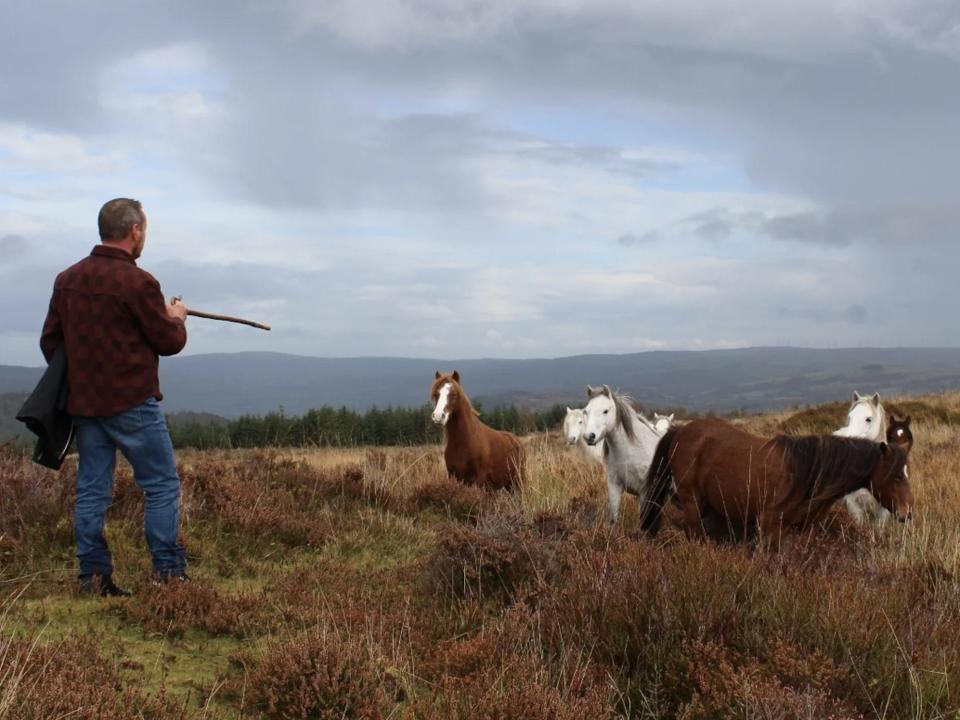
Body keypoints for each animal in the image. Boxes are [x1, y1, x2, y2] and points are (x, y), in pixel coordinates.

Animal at [580, 386, 664, 524]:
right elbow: (613, 518)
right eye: (586, 411)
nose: (589, 436)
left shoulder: (644, 493)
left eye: (605, 411)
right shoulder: (615, 487)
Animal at [640, 416, 912, 540]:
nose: (907, 514)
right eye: (897, 476)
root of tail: (681, 431)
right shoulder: (771, 525)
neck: (807, 472)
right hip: (692, 502)